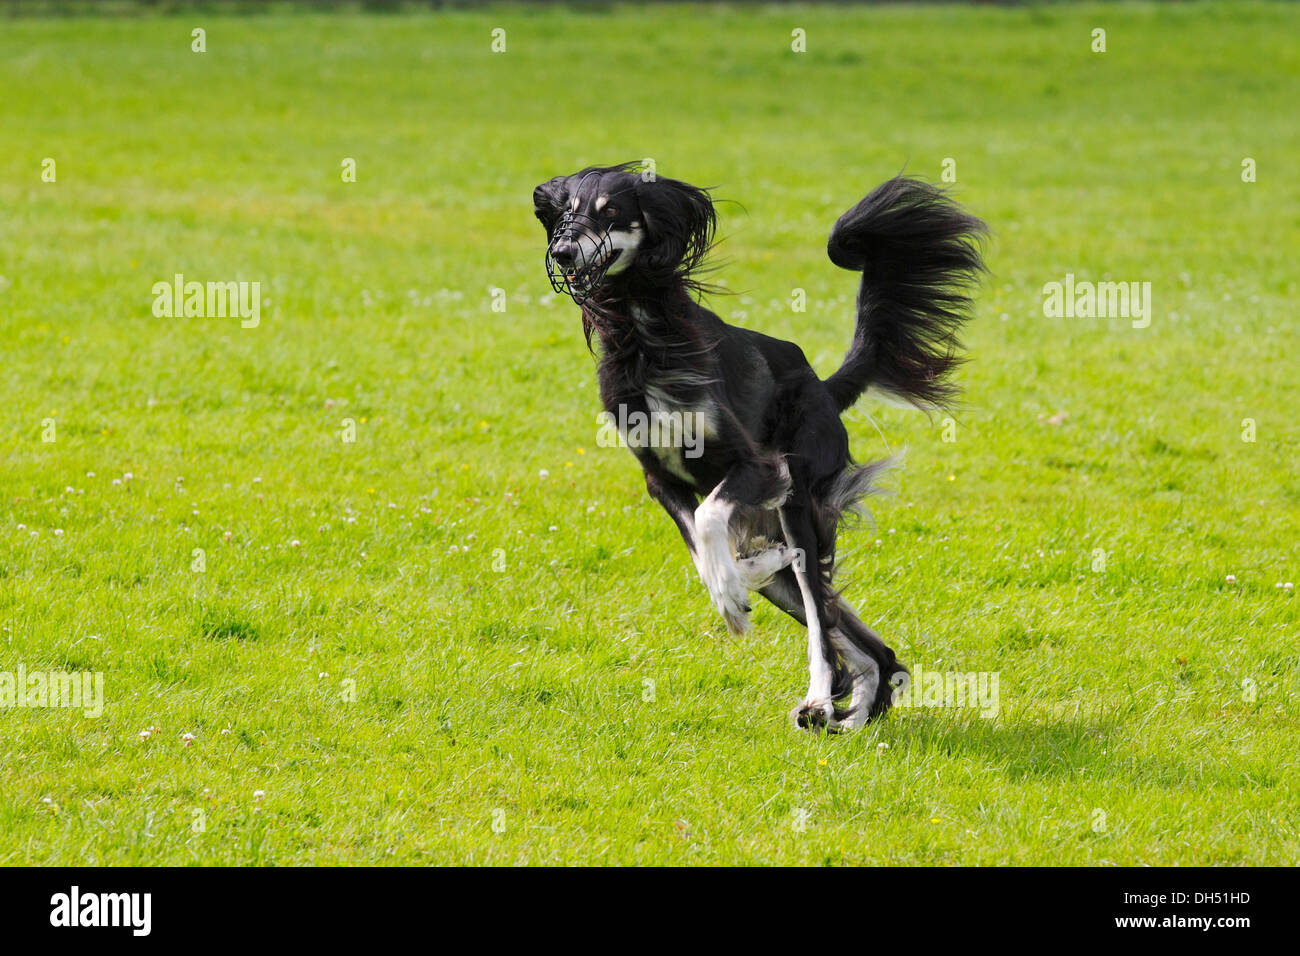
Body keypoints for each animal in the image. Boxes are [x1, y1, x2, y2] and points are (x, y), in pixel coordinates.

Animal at [533, 164, 987, 733]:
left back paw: (821, 698)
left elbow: (710, 521)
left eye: (610, 211)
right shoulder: (661, 480)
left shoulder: (758, 465)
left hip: (798, 500)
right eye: (566, 210)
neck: (643, 336)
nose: (563, 253)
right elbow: (703, 551)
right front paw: (737, 578)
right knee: (869, 648)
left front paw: (735, 589)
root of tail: (822, 386)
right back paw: (848, 713)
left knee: (820, 613)